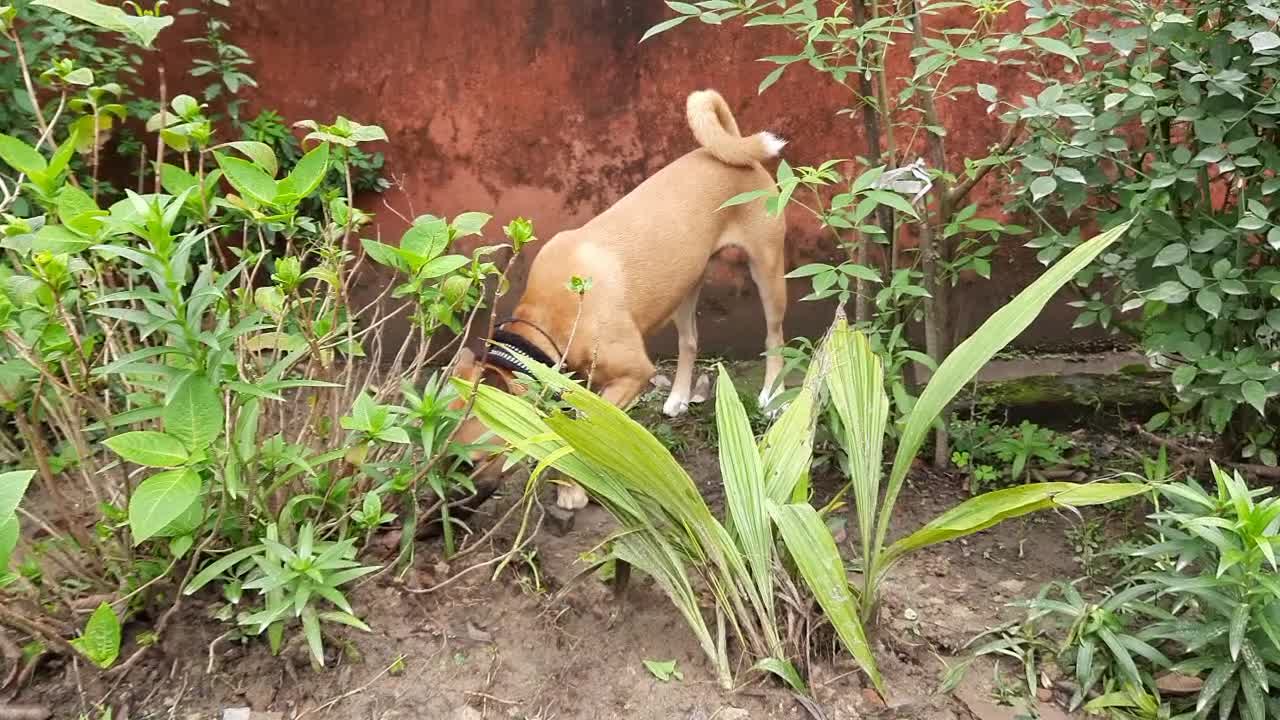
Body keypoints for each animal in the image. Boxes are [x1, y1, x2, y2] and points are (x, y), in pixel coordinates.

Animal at [455, 87, 783, 507]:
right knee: (689, 340)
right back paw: (679, 395)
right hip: (685, 283)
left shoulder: (633, 373)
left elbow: (584, 431)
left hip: (768, 272)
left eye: (473, 461)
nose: (446, 507)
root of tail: (735, 151)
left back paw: (771, 396)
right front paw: (572, 484)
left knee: (774, 336)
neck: (547, 319)